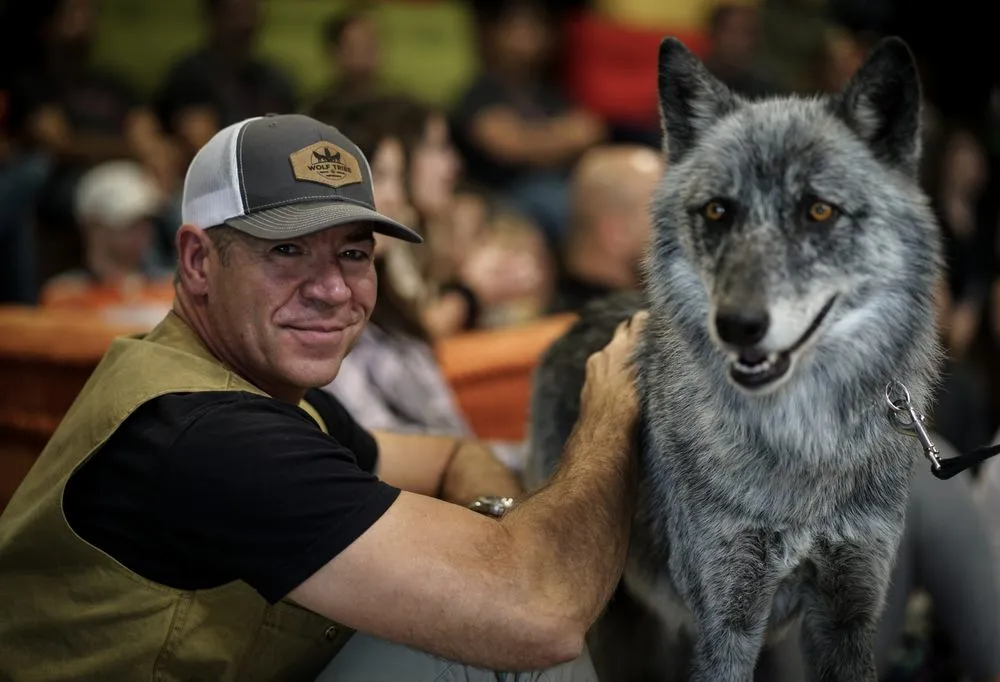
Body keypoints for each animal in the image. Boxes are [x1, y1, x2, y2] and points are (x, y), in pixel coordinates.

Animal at [525, 37, 942, 682]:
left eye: (818, 211)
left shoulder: (845, 616)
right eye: (718, 211)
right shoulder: (726, 625)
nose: (737, 325)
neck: (802, 451)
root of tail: (578, 317)